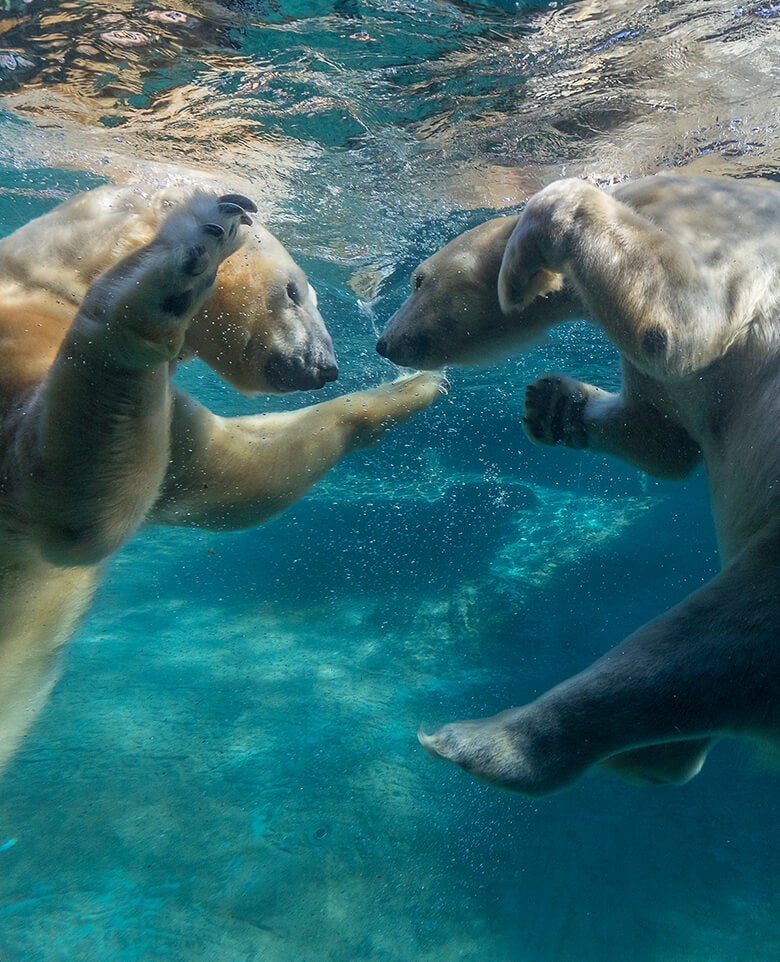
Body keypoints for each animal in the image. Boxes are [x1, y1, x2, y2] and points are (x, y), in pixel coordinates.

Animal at [0, 184, 443, 771]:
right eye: (295, 291)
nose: (326, 367)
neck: (49, 279)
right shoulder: (22, 337)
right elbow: (68, 505)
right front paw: (189, 253)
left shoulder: (169, 419)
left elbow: (232, 473)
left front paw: (414, 384)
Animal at [377, 173, 780, 795]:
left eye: (418, 278)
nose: (383, 341)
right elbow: (662, 435)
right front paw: (550, 405)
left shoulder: (718, 235)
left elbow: (682, 327)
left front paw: (517, 269)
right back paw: (656, 755)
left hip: (773, 573)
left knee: (699, 643)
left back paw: (479, 740)